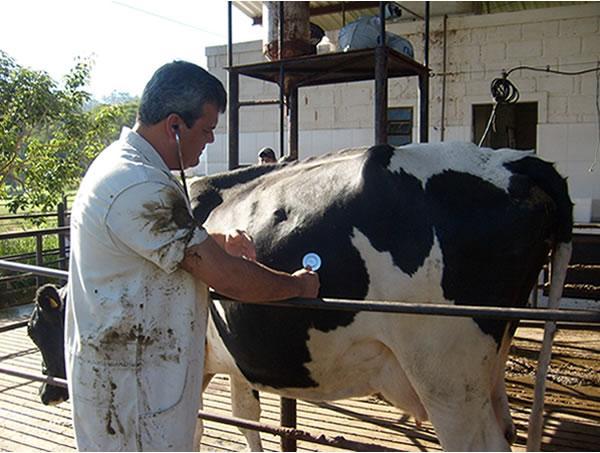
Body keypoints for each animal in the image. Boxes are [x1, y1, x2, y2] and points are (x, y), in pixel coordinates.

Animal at [28, 142, 572, 452]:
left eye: (37, 331)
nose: (48, 393)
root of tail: (513, 160)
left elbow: (212, 425)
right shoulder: (227, 362)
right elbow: (244, 420)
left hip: (446, 373)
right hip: (487, 364)